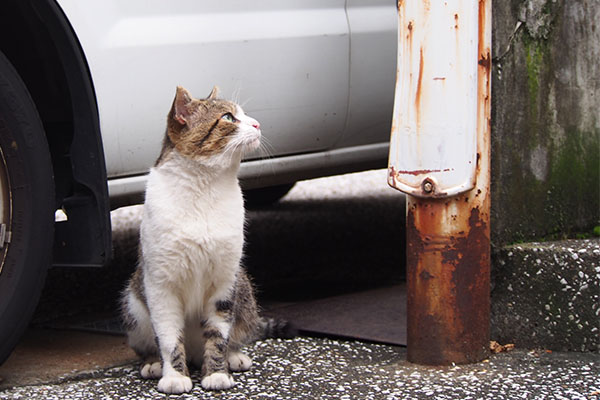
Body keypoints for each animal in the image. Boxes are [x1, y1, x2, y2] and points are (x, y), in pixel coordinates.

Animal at [120, 85, 292, 394]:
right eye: (228, 117)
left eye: (244, 114)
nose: (257, 124)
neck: (205, 186)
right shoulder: (161, 286)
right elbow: (168, 338)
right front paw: (174, 376)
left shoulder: (224, 281)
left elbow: (218, 335)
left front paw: (217, 373)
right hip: (133, 304)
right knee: (148, 341)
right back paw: (153, 363)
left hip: (243, 289)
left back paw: (234, 356)